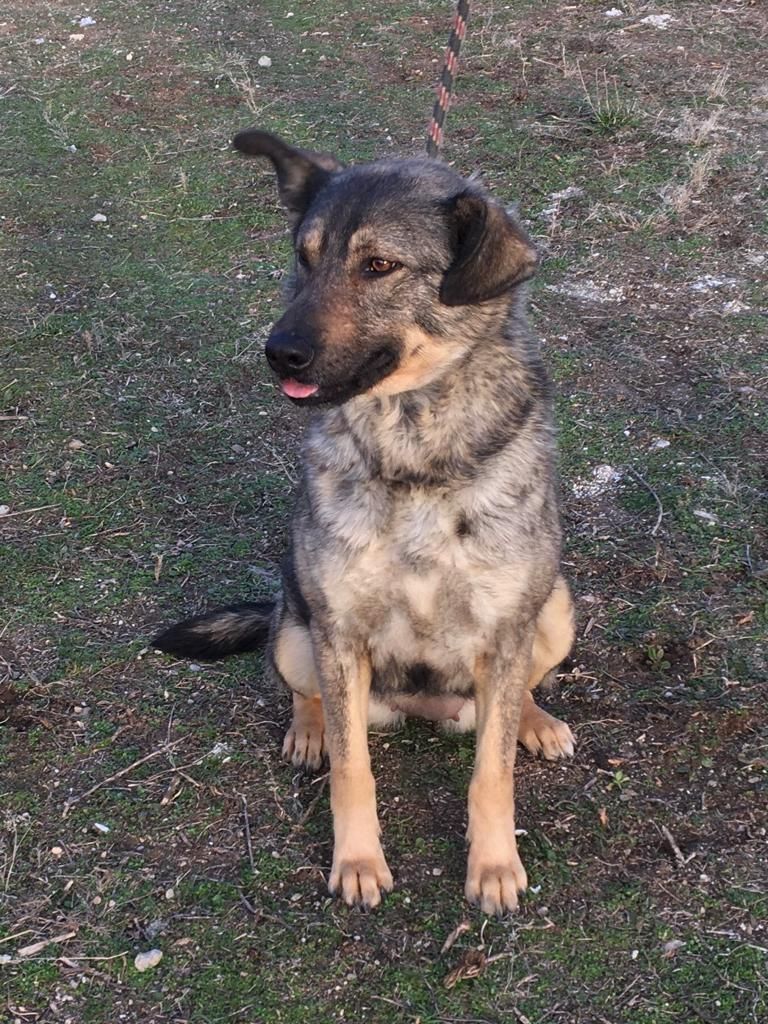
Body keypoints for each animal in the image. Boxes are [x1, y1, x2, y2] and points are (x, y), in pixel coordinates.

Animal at [154, 130, 576, 915]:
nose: (278, 352)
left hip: (557, 609)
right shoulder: (340, 633)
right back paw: (309, 731)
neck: (411, 455)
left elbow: (492, 770)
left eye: (379, 265)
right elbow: (354, 770)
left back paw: (534, 719)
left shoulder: (508, 626)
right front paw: (356, 859)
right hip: (298, 630)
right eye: (305, 256)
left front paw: (494, 865)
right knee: (307, 691)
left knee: (517, 695)